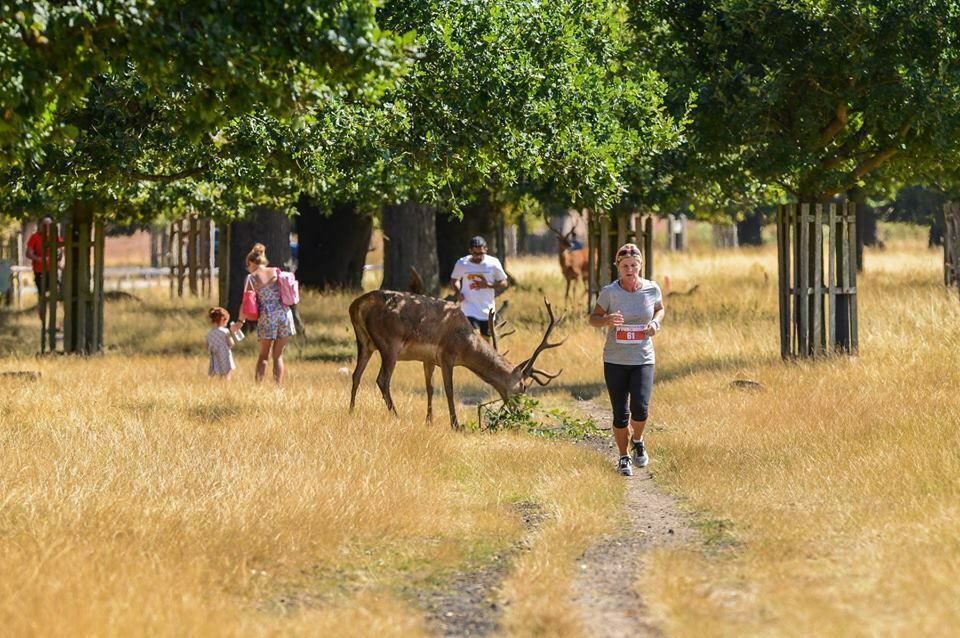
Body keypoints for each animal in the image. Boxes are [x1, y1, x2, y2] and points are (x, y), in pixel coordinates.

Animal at [348, 291, 564, 429]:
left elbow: (430, 388)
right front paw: (455, 424)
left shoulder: (428, 359)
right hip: (389, 343)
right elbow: (449, 391)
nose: (521, 412)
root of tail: (357, 305)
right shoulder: (447, 355)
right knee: (382, 379)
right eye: (523, 386)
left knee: (356, 375)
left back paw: (351, 412)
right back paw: (397, 416)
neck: (466, 344)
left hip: (364, 342)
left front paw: (429, 421)